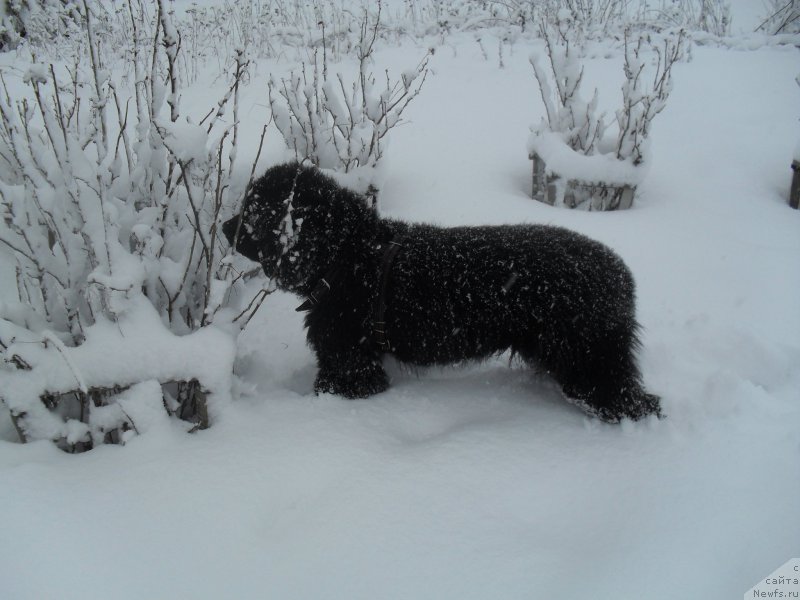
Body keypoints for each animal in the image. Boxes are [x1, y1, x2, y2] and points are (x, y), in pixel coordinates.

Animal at [225, 161, 664, 422]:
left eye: (254, 209)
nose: (225, 227)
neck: (348, 253)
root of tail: (623, 275)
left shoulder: (349, 362)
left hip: (588, 357)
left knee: (629, 398)